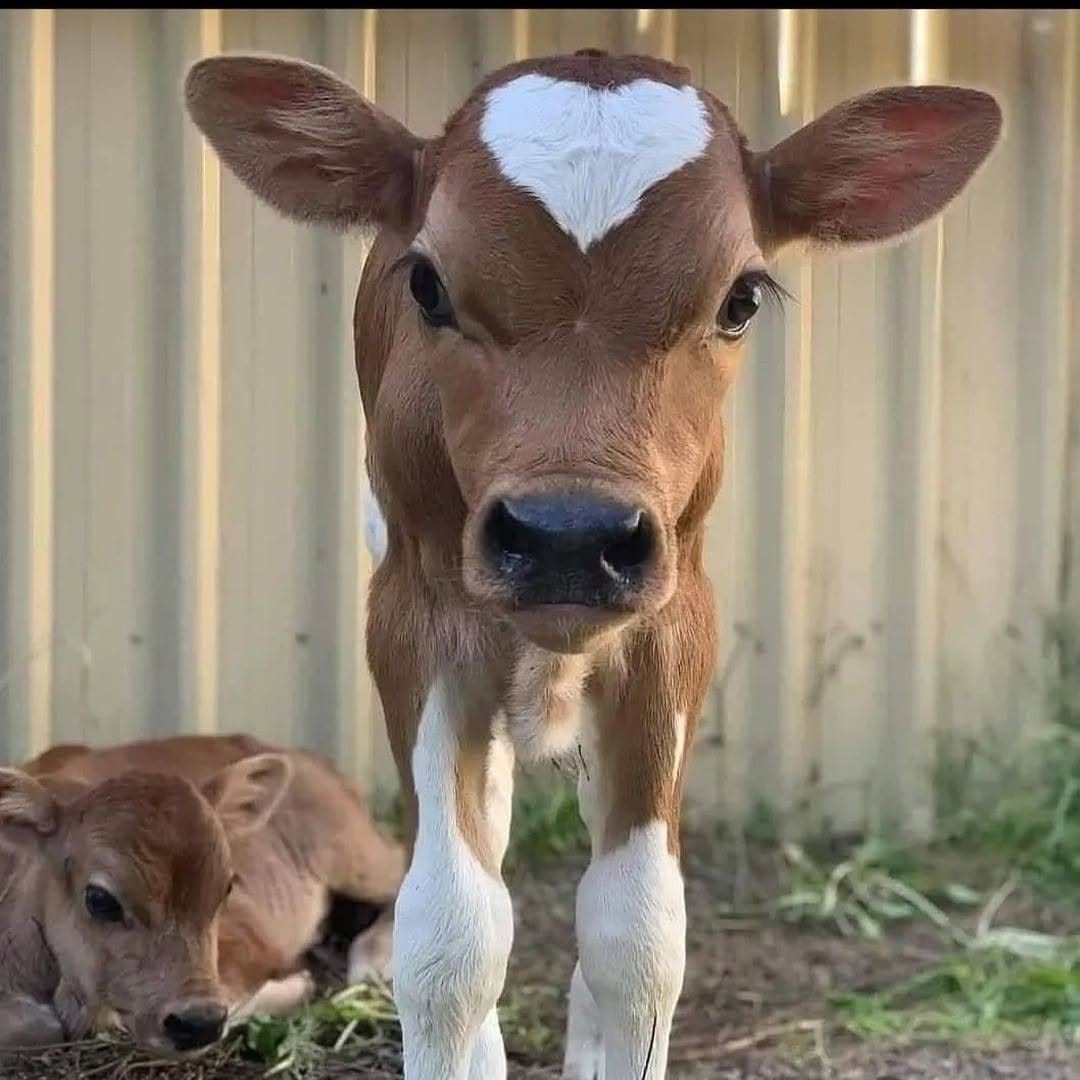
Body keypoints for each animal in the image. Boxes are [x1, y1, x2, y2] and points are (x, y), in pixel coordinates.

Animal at [0, 735, 404, 1056]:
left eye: (227, 887)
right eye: (99, 899)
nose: (198, 1023)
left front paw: (299, 985)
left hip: (356, 854)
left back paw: (375, 959)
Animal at [183, 47, 1002, 1079]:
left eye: (740, 299)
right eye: (427, 286)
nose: (567, 534)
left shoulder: (673, 631)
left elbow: (638, 936)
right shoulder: (412, 622)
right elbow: (450, 933)